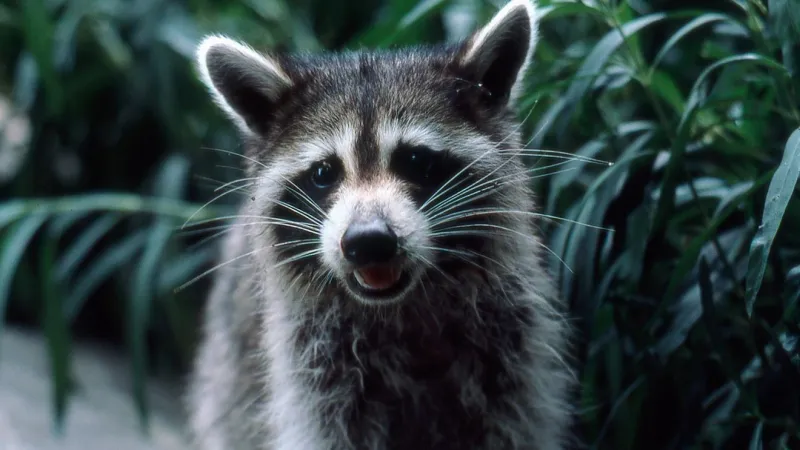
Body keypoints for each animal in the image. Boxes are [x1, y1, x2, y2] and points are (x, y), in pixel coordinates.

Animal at [186, 0, 574, 449]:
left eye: (416, 160)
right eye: (324, 173)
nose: (368, 241)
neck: (398, 310)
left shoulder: (511, 346)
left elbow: (515, 420)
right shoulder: (314, 368)